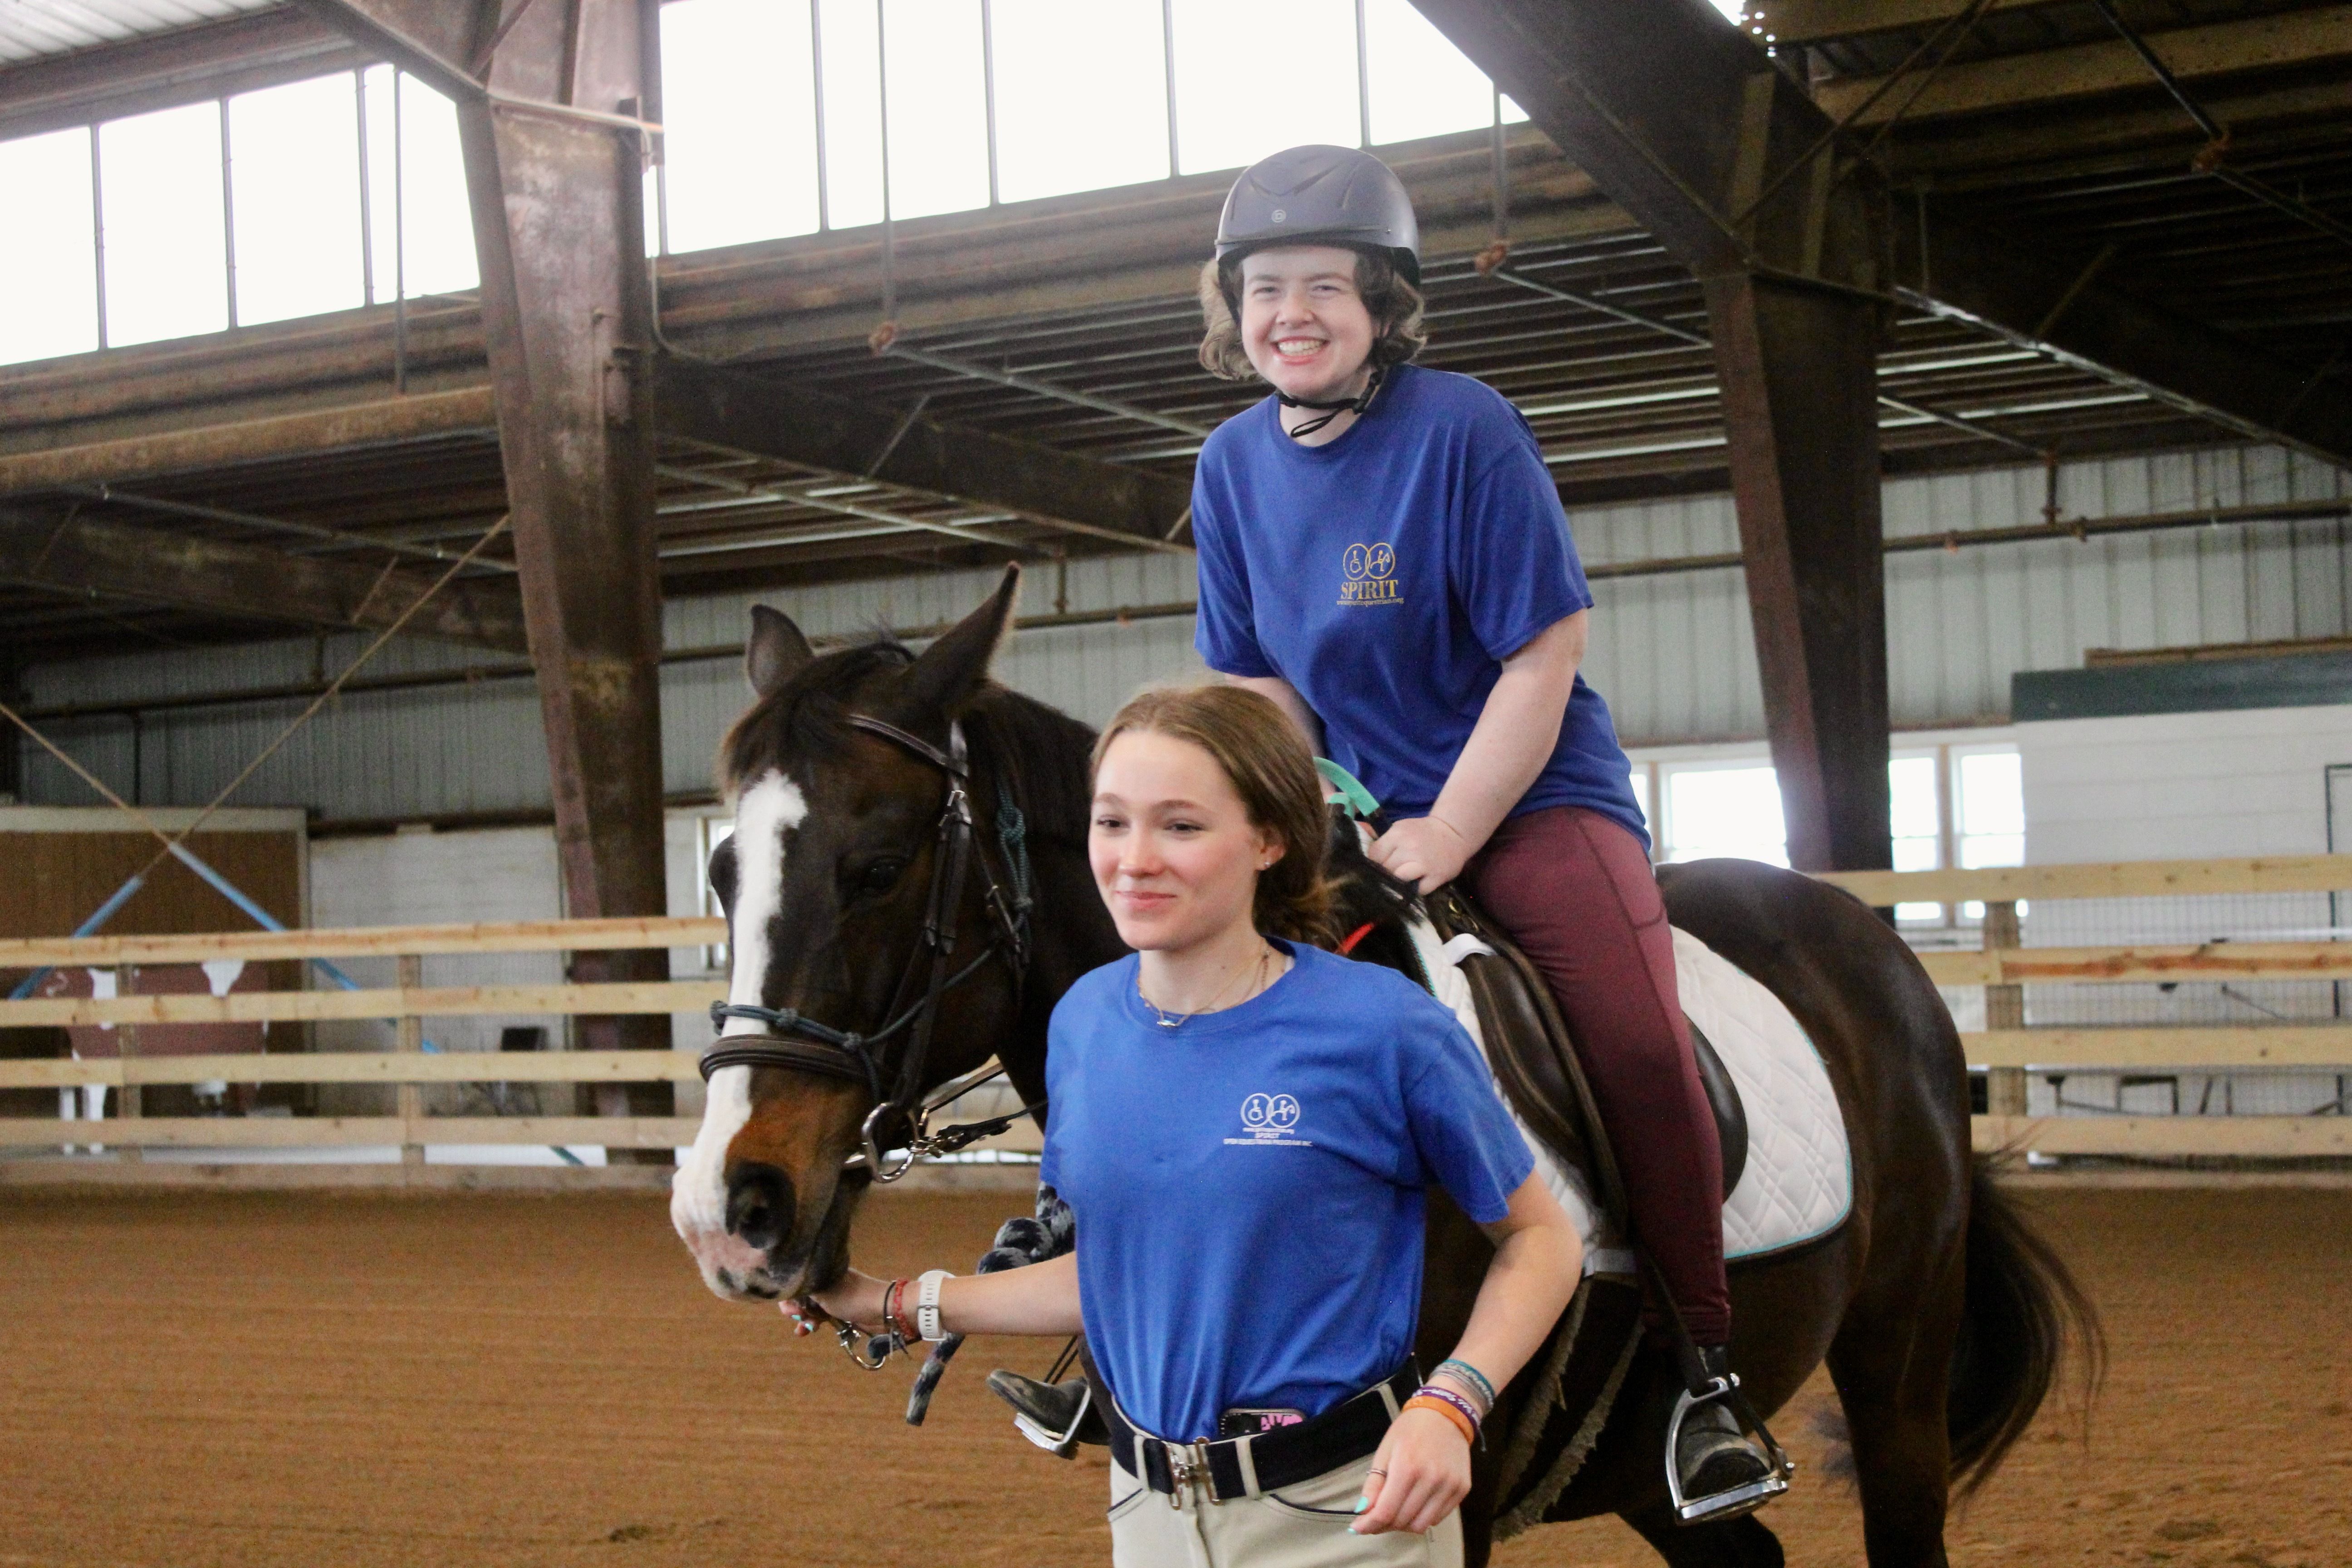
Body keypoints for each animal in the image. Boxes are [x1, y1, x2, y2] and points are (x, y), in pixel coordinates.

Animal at [668, 573, 2098, 1568]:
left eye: (875, 865)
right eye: (723, 869)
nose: (730, 1210)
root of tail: (1870, 945)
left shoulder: (1436, 1489)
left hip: (1896, 1368)